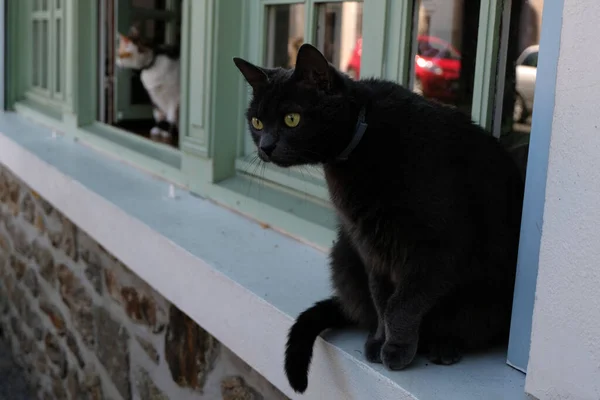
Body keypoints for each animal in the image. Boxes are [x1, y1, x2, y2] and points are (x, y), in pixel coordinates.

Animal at [232, 43, 524, 394]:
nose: (266, 146)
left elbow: (402, 303)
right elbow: (382, 299)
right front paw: (382, 342)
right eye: (257, 122)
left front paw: (396, 349)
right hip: (344, 253)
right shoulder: (370, 245)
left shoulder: (439, 245)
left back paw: (443, 346)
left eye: (292, 119)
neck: (360, 146)